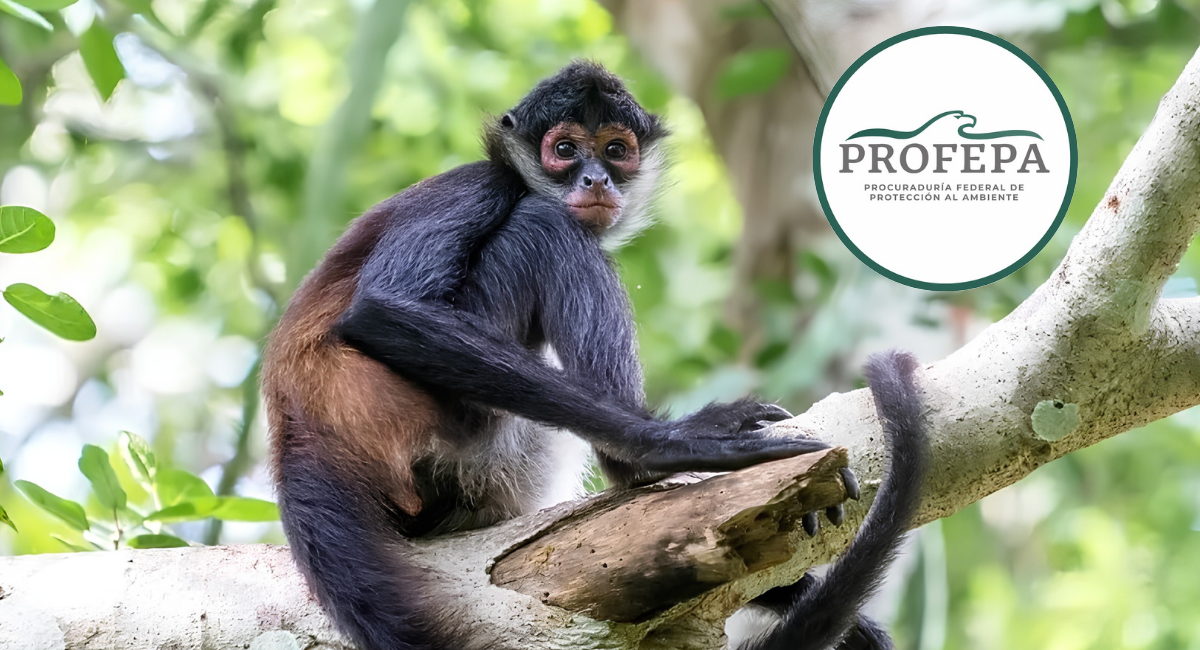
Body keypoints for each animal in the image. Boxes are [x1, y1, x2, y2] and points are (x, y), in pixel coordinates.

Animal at [262, 61, 926, 650]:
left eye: (614, 150)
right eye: (564, 149)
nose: (595, 181)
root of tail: (301, 429)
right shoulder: (479, 183)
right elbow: (381, 309)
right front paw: (674, 444)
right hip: (453, 425)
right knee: (544, 223)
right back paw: (634, 469)